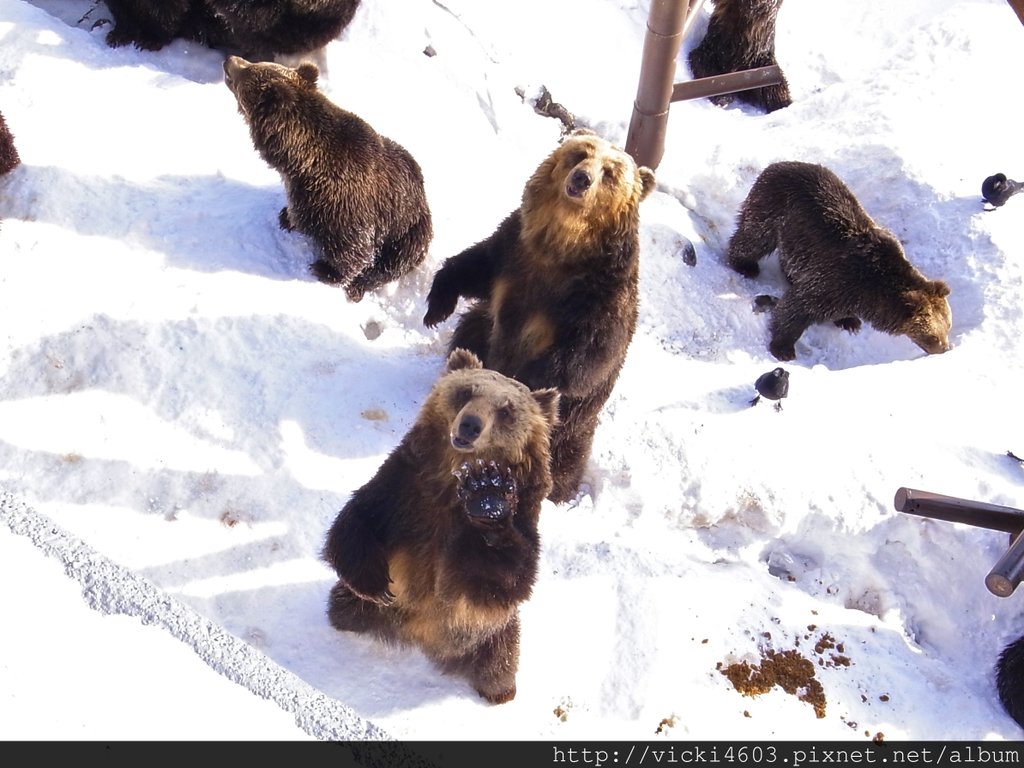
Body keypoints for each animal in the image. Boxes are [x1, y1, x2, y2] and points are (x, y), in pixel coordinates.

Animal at [224, 55, 432, 303]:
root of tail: (425, 199)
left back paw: (358, 287)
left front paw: (326, 270)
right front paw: (285, 216)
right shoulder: (305, 196)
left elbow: (356, 250)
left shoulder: (346, 204)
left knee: (392, 263)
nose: (230, 60)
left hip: (409, 232)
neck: (303, 164)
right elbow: (298, 214)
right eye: (255, 64)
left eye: (248, 70)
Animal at [321, 352, 557, 708]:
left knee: (499, 662)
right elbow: (357, 520)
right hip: (365, 606)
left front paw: (487, 494)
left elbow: (507, 578)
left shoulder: (522, 515)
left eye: (506, 410)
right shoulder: (403, 490)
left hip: (494, 634)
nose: (470, 424)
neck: (450, 483)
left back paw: (500, 691)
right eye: (466, 391)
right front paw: (376, 583)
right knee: (342, 607)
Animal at [421, 128, 655, 505]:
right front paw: (438, 303)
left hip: (573, 427)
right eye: (581, 153)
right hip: (483, 329)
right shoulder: (515, 250)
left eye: (610, 172)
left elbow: (587, 355)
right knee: (471, 328)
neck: (563, 244)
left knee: (563, 460)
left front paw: (530, 379)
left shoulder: (598, 295)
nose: (582, 178)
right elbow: (477, 263)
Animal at [729, 159, 950, 364]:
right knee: (754, 238)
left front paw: (849, 321)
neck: (873, 291)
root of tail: (777, 164)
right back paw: (745, 265)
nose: (946, 348)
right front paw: (783, 348)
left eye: (948, 325)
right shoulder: (837, 280)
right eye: (933, 336)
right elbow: (797, 307)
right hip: (773, 210)